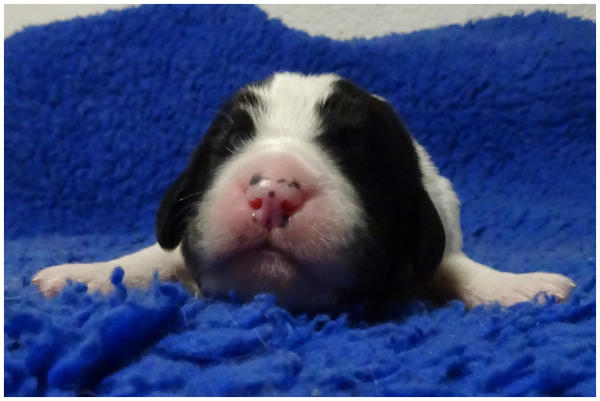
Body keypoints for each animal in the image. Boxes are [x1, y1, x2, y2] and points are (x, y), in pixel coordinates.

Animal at [32, 72, 575, 312]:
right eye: (230, 143)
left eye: (357, 156)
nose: (273, 191)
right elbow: (156, 256)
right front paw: (85, 276)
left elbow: (453, 263)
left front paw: (520, 287)